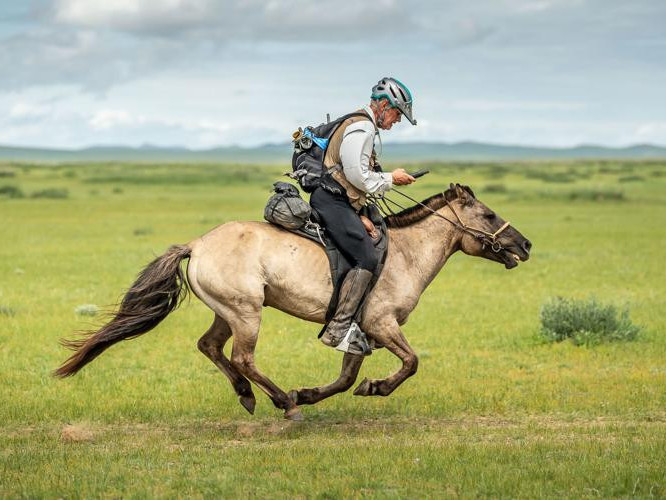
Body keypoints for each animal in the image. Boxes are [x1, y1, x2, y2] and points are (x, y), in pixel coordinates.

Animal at [54, 183, 528, 418]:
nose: (525, 245)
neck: (406, 254)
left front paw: (312, 393)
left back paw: (250, 397)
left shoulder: (357, 330)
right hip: (247, 313)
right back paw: (281, 403)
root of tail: (196, 244)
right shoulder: (381, 324)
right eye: (488, 215)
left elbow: (346, 379)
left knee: (210, 347)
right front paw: (375, 388)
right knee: (242, 357)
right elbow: (410, 363)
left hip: (228, 312)